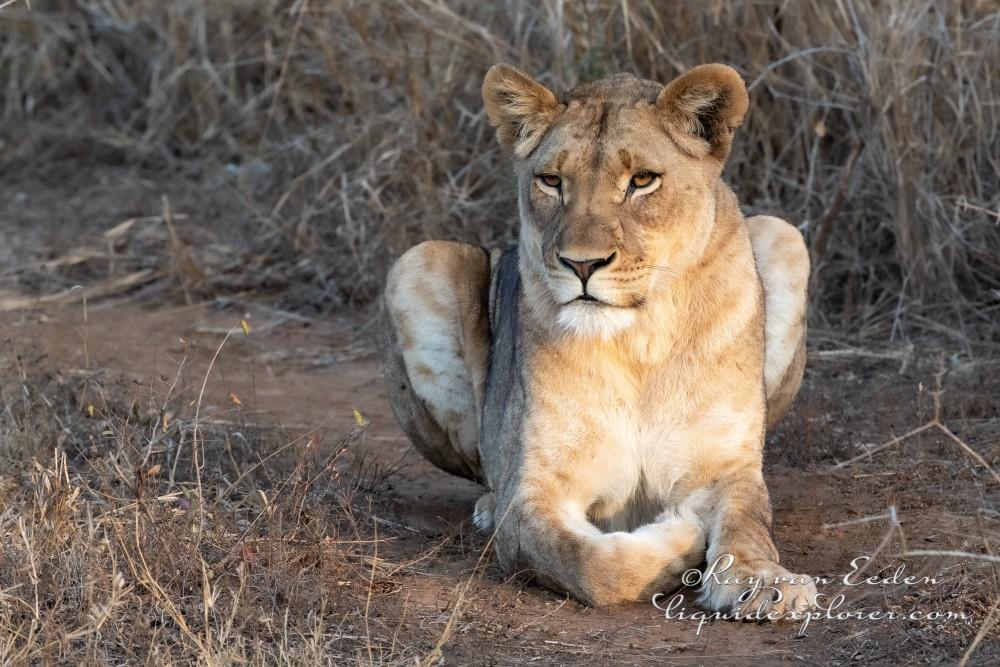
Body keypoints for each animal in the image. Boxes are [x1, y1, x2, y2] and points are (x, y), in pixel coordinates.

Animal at [382, 63, 817, 615]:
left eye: (642, 181)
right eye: (551, 181)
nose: (582, 264)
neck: (639, 345)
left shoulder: (726, 467)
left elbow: (748, 525)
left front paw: (765, 582)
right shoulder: (534, 494)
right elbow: (593, 565)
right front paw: (680, 536)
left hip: (786, 236)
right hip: (418, 261)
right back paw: (487, 505)